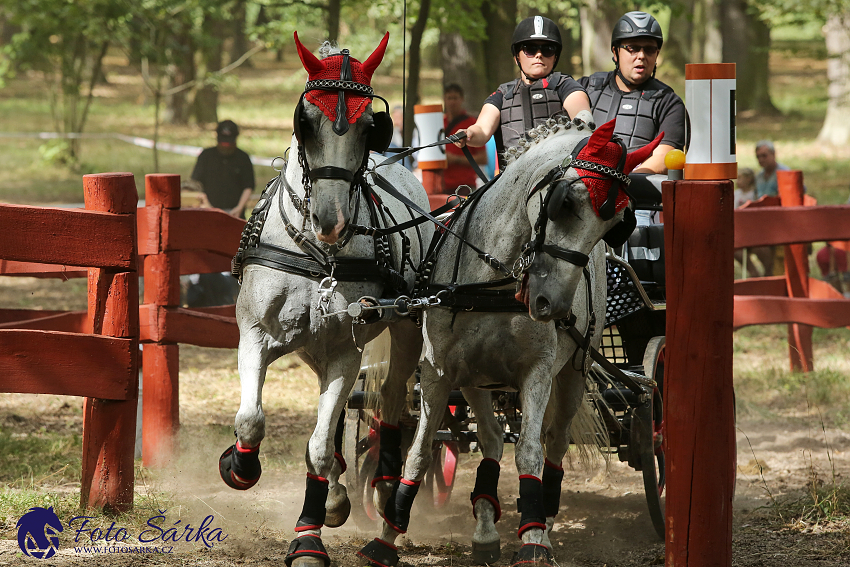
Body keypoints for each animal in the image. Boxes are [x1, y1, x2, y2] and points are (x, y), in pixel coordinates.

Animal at [217, 33, 428, 567]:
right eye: (305, 121)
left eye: (370, 127)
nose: (330, 221)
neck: (319, 254)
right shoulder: (255, 336)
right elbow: (251, 420)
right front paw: (239, 467)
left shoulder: (345, 352)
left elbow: (314, 443)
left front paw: (308, 535)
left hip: (404, 331)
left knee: (389, 397)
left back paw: (381, 482)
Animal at [358, 115, 664, 567]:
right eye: (565, 203)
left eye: (615, 225)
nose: (551, 304)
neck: (491, 282)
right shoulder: (440, 372)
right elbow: (422, 448)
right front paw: (387, 535)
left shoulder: (537, 373)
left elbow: (530, 452)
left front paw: (534, 538)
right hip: (476, 381)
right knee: (488, 439)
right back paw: (486, 525)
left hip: (573, 374)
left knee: (555, 441)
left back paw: (545, 516)